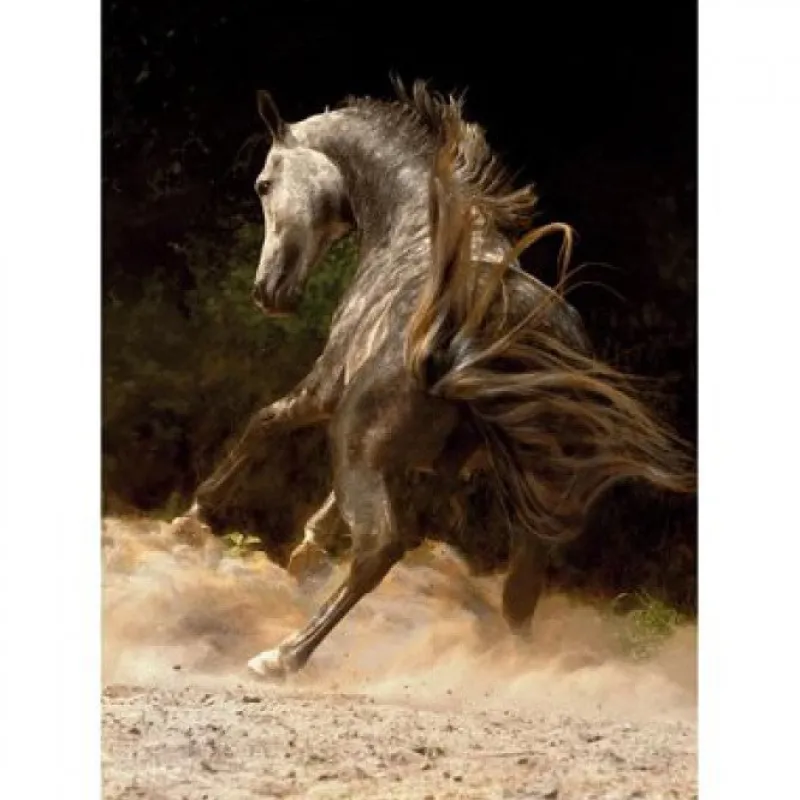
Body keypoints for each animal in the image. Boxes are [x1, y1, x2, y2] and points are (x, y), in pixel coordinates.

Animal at [171, 79, 694, 679]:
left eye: (263, 183)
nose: (269, 292)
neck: (415, 231)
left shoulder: (326, 391)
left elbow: (261, 426)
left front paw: (191, 522)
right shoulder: (442, 466)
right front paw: (306, 551)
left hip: (354, 444)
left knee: (378, 548)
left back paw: (283, 655)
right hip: (538, 484)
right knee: (519, 591)